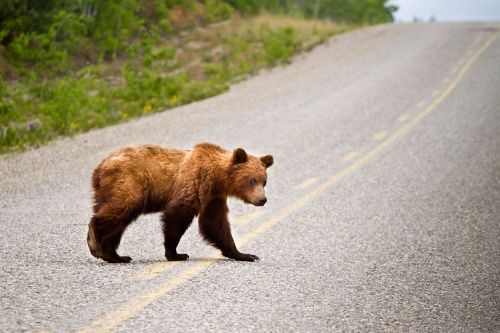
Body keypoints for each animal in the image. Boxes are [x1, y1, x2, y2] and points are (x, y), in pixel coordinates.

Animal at [86, 142, 274, 262]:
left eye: (264, 181)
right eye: (252, 180)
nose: (263, 199)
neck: (218, 179)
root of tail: (100, 167)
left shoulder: (214, 198)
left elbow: (215, 224)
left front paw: (245, 254)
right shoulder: (196, 183)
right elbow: (178, 215)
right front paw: (175, 253)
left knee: (118, 221)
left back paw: (116, 255)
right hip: (129, 183)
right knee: (119, 210)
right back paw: (96, 244)